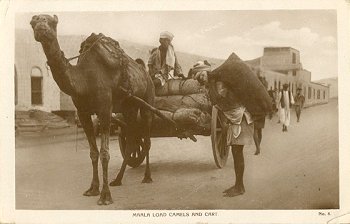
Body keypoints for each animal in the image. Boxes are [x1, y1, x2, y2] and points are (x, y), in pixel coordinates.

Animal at [30, 14, 154, 206]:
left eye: (52, 22)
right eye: (33, 22)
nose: (41, 28)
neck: (84, 80)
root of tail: (145, 71)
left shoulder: (105, 109)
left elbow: (105, 153)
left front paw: (105, 196)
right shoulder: (83, 113)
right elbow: (93, 153)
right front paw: (93, 189)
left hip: (147, 99)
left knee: (146, 139)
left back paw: (147, 177)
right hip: (129, 107)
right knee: (132, 139)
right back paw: (118, 179)